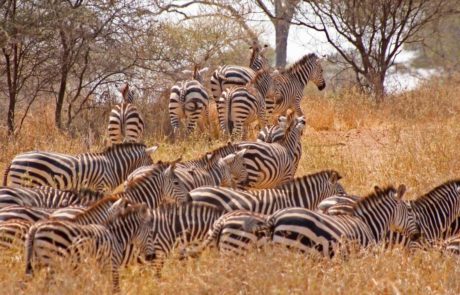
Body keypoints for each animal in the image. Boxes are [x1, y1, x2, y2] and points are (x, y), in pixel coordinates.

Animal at [24, 204, 155, 294]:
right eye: (150, 233)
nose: (152, 257)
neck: (116, 237)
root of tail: (37, 226)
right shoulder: (112, 266)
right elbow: (115, 288)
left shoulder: (99, 269)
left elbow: (95, 286)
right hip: (53, 263)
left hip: (37, 262)